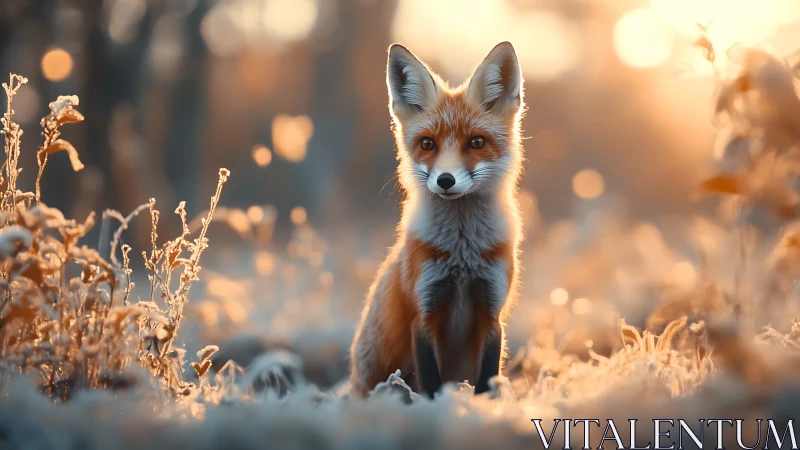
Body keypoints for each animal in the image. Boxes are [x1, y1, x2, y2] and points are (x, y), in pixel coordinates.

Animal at [349, 41, 525, 399]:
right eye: (427, 144)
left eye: (477, 142)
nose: (445, 180)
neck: (463, 253)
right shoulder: (424, 311)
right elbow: (430, 383)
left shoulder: (492, 313)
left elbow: (487, 380)